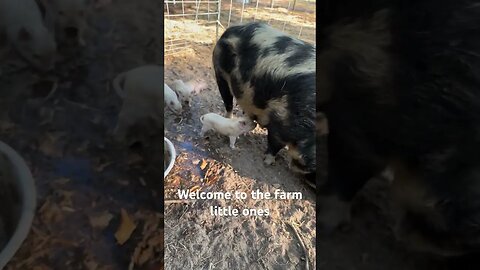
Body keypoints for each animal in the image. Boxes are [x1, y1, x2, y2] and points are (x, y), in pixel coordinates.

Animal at [212, 22, 316, 182]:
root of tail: (231, 29)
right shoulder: (279, 116)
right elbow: (275, 143)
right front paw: (268, 163)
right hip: (220, 74)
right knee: (228, 103)